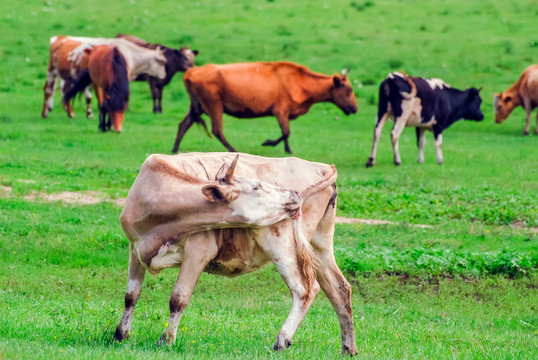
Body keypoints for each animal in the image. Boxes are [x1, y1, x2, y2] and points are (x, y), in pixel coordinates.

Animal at [113, 153, 356, 356]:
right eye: (256, 186)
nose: (294, 193)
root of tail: (322, 166)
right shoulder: (134, 248)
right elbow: (131, 295)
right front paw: (119, 336)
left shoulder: (198, 251)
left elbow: (178, 299)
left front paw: (166, 340)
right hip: (320, 245)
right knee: (339, 289)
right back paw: (348, 348)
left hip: (282, 245)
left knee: (305, 289)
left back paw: (282, 339)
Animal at [172, 61, 356, 153]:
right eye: (348, 89)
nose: (355, 109)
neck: (300, 81)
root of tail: (190, 72)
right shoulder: (280, 111)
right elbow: (286, 132)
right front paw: (268, 143)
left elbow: (286, 134)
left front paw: (288, 150)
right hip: (214, 105)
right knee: (217, 130)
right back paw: (233, 150)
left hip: (198, 106)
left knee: (183, 124)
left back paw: (174, 149)